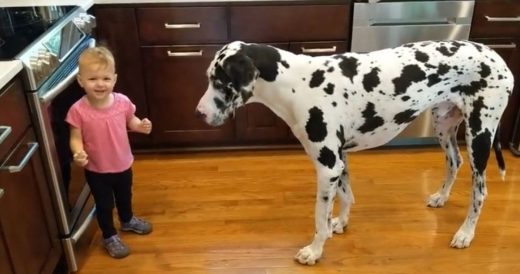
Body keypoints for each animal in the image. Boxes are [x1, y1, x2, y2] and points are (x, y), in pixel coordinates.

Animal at [196, 40, 516, 266]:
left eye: (219, 82)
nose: (199, 113)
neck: (297, 83)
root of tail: (499, 58)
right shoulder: (339, 160)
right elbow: (346, 195)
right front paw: (340, 223)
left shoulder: (327, 165)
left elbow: (319, 217)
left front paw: (315, 250)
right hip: (444, 126)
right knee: (454, 162)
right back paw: (441, 197)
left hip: (480, 135)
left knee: (480, 191)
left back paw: (465, 233)